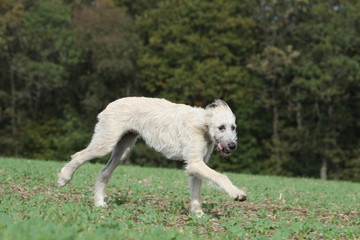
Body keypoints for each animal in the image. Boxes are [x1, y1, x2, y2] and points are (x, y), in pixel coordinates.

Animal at [57, 97, 248, 216]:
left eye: (233, 127)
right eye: (221, 127)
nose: (233, 146)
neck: (203, 124)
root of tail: (108, 106)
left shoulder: (196, 165)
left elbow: (196, 192)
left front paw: (198, 214)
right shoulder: (195, 163)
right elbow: (220, 176)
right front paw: (237, 193)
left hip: (123, 148)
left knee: (104, 171)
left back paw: (99, 202)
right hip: (105, 143)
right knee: (79, 155)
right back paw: (64, 178)